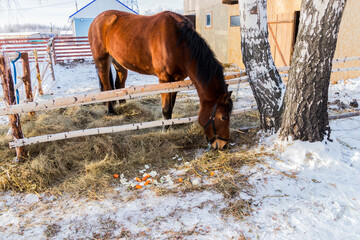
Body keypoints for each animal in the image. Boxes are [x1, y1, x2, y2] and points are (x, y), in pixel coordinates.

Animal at [89, 10, 233, 149]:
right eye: (223, 117)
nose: (223, 145)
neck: (179, 42)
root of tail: (97, 19)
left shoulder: (176, 80)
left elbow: (171, 106)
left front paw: (169, 126)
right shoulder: (164, 80)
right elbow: (166, 108)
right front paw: (165, 129)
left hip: (119, 63)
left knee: (119, 84)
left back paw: (123, 104)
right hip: (102, 60)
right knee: (107, 87)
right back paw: (111, 111)